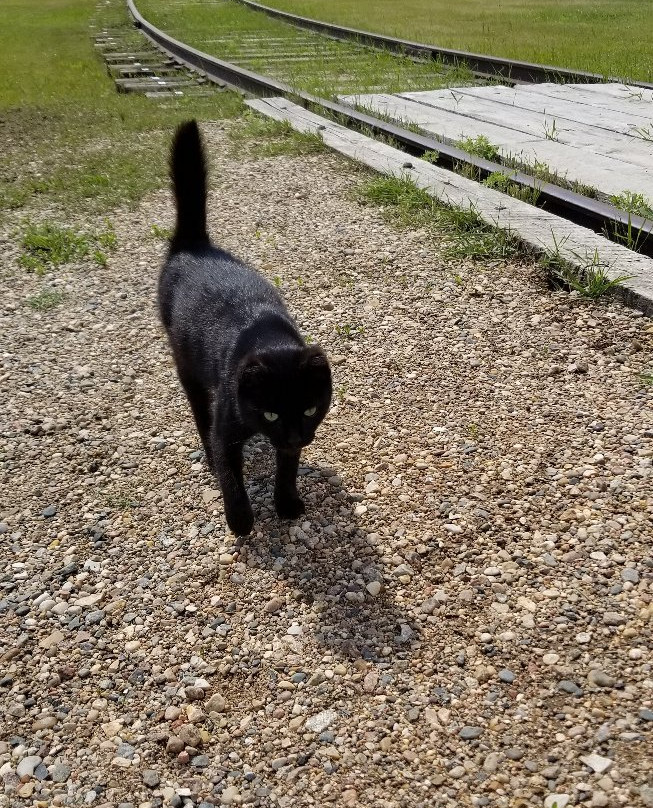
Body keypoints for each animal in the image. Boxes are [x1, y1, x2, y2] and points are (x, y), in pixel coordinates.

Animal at [157, 120, 332, 536]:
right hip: (187, 367)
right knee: (200, 415)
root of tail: (194, 245)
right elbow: (230, 475)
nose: (294, 435)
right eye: (270, 415)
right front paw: (240, 520)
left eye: (310, 410)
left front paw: (287, 503)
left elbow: (288, 468)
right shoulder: (227, 427)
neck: (266, 334)